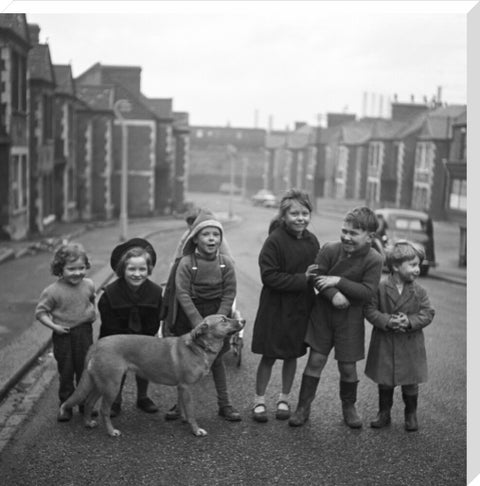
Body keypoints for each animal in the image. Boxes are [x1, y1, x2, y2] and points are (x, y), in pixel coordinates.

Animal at [59, 314, 246, 438]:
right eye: (223, 320)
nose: (243, 320)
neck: (199, 347)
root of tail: (97, 344)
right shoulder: (186, 387)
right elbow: (191, 412)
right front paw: (195, 430)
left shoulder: (181, 388)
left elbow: (184, 409)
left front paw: (184, 420)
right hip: (112, 386)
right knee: (104, 410)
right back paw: (111, 431)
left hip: (100, 384)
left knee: (89, 403)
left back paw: (88, 423)